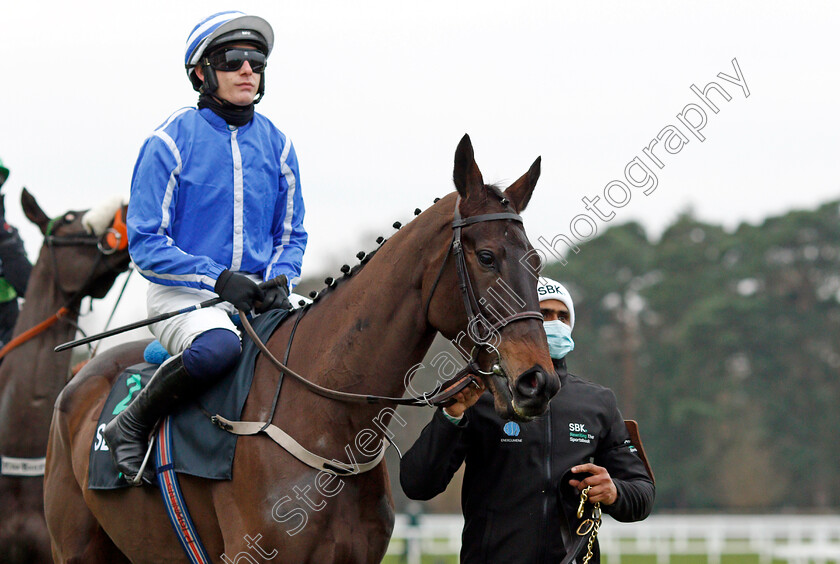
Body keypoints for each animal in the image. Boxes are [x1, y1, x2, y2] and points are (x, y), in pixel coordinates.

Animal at [44, 137, 556, 564]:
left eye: (535, 262)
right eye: (486, 257)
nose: (538, 381)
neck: (330, 424)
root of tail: (81, 373)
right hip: (77, 549)